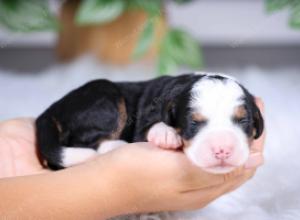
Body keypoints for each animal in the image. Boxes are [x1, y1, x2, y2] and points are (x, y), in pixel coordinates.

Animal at [36, 72, 264, 174]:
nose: (222, 150)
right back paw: (117, 146)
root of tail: (52, 109)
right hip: (106, 97)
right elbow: (150, 127)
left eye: (243, 120)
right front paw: (166, 133)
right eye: (193, 123)